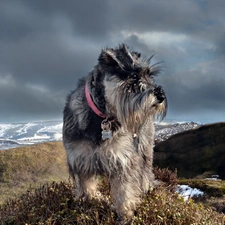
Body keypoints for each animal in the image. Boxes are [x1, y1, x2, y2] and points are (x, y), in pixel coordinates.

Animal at [62, 44, 167, 220]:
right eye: (133, 75)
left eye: (149, 75)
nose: (160, 95)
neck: (102, 118)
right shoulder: (80, 161)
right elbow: (87, 187)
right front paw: (90, 203)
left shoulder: (123, 161)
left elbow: (124, 193)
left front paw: (126, 216)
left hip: (144, 148)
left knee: (145, 172)